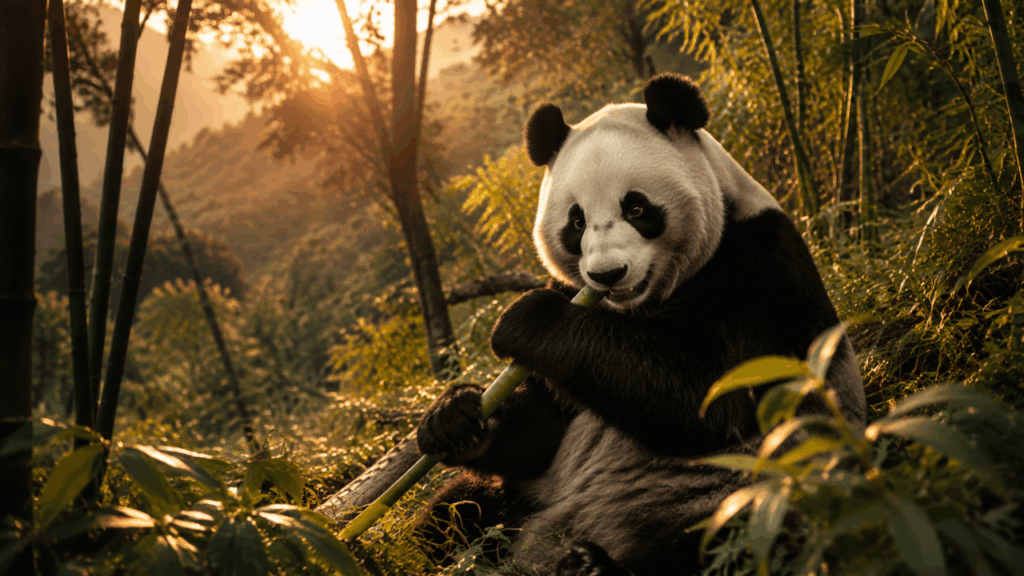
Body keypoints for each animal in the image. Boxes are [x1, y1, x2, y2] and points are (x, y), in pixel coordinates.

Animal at [415, 73, 866, 575]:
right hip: (524, 501)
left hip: (743, 484)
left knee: (735, 536)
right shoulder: (570, 292)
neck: (637, 309)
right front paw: (454, 416)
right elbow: (542, 429)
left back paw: (589, 564)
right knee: (452, 511)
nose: (607, 275)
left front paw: (524, 318)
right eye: (576, 221)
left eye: (636, 208)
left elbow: (708, 393)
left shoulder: (761, 269)